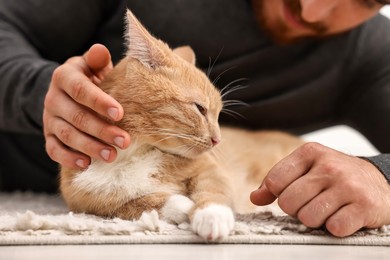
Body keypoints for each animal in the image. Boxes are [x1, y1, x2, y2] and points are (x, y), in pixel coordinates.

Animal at [61, 9, 304, 242]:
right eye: (200, 109)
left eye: (217, 114)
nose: (217, 140)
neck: (135, 151)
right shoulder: (89, 199)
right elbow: (140, 204)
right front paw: (184, 207)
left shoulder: (210, 169)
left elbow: (215, 190)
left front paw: (211, 217)